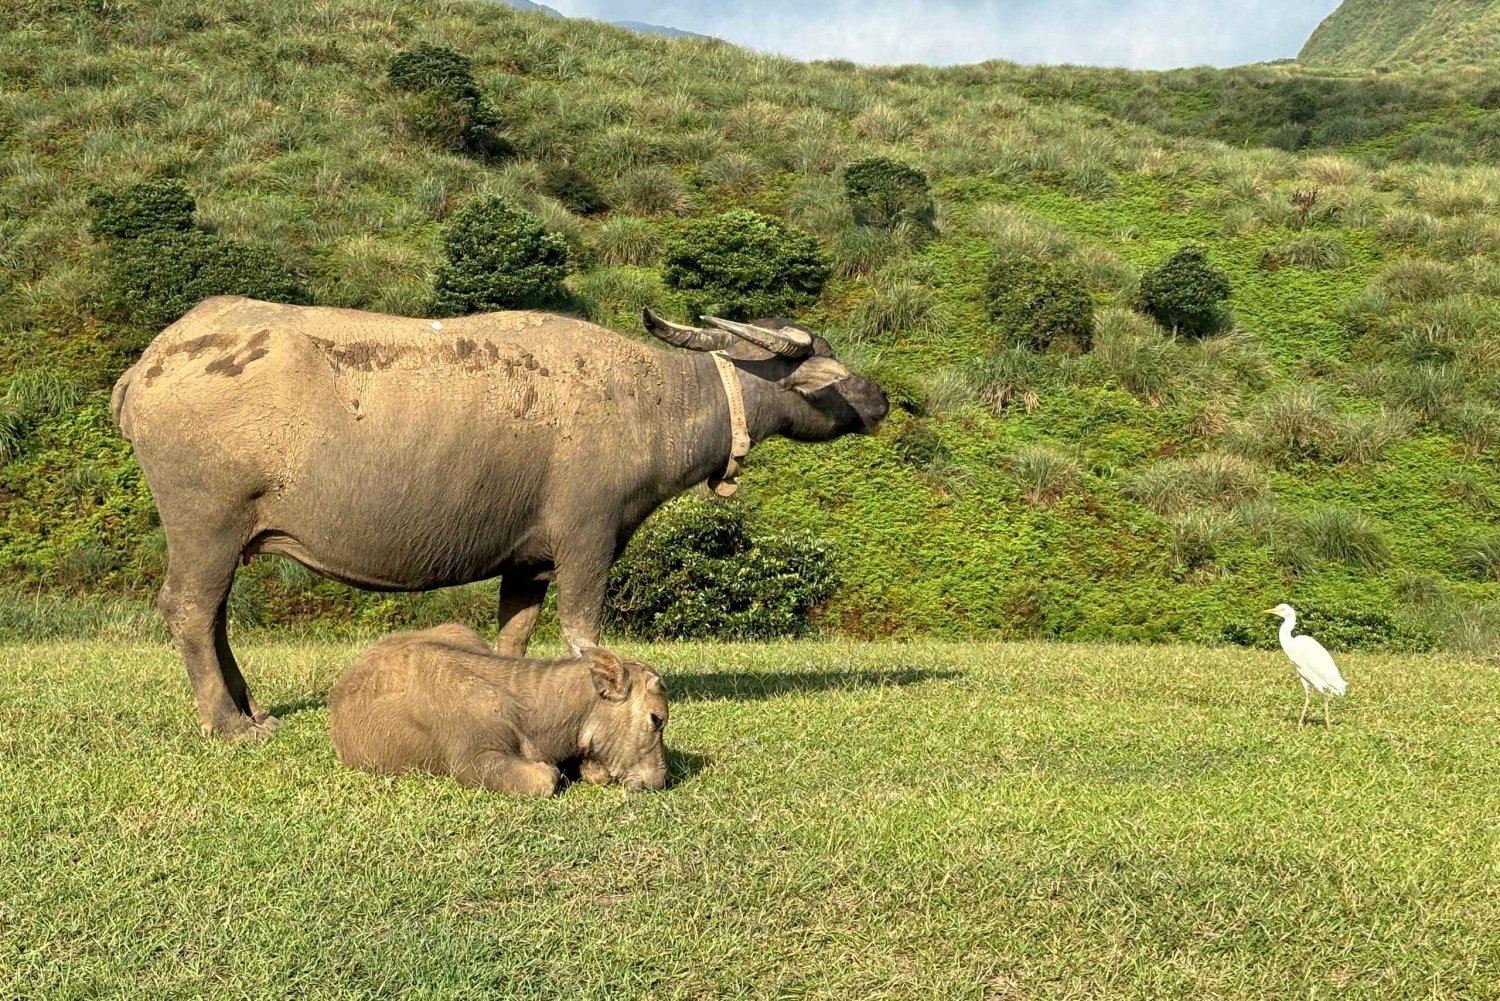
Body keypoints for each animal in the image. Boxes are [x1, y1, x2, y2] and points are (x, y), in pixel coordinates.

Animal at [117, 295, 888, 735]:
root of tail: (152, 360)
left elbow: (512, 641)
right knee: (190, 610)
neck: (654, 400)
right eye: (830, 363)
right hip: (206, 525)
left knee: (213, 616)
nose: (881, 397)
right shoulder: (588, 542)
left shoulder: (529, 562)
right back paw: (228, 722)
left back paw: (250, 706)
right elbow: (582, 633)